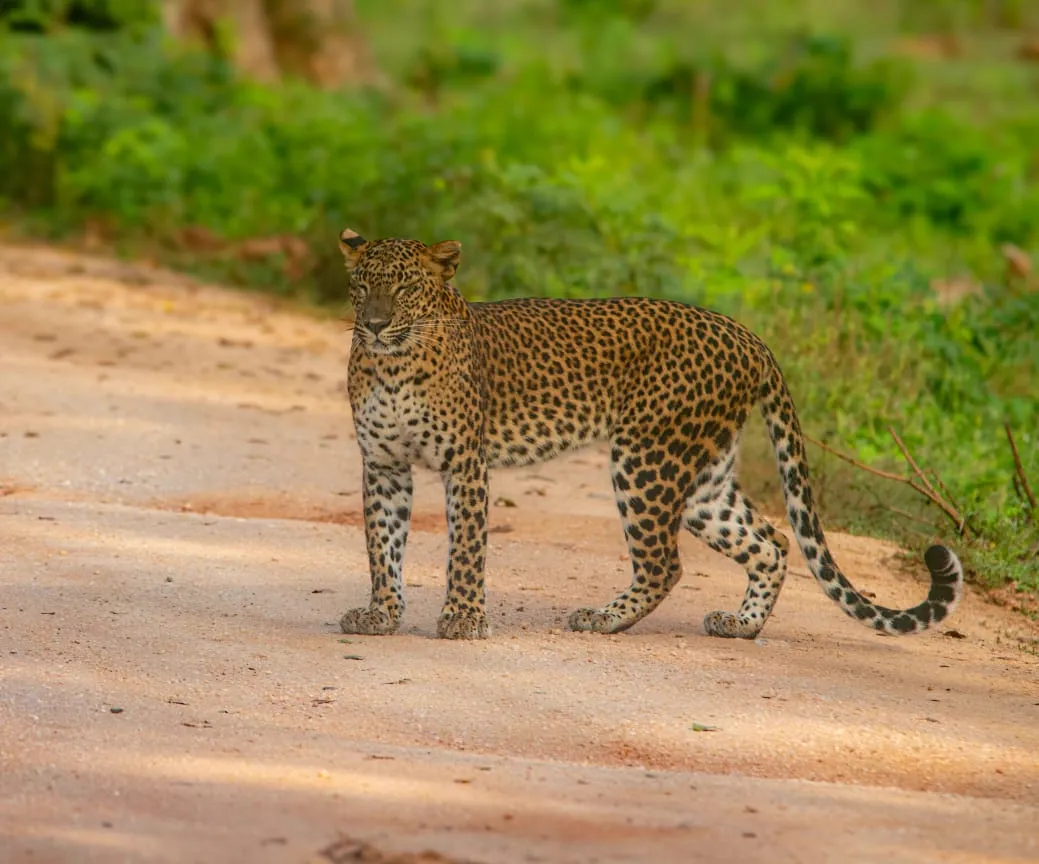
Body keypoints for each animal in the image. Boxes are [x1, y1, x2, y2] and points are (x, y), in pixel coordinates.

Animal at [337, 228, 964, 641]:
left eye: (405, 289)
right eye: (361, 287)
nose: (373, 323)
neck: (393, 364)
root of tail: (748, 335)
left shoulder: (465, 464)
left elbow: (466, 547)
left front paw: (463, 618)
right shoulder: (383, 464)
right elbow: (382, 545)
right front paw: (382, 614)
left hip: (647, 459)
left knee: (665, 563)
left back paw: (603, 618)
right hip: (704, 478)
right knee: (771, 542)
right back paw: (741, 625)